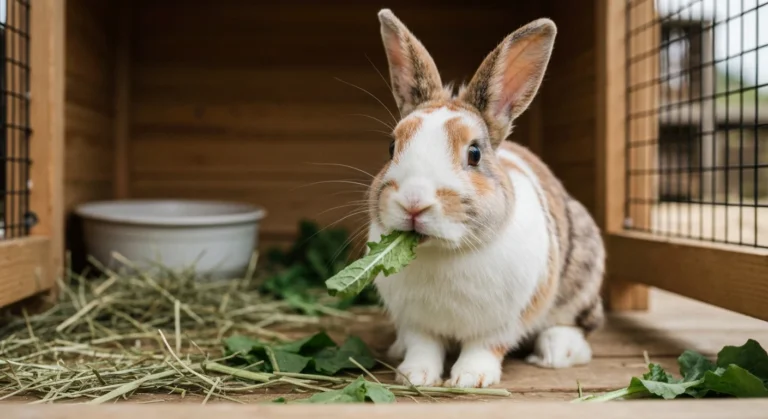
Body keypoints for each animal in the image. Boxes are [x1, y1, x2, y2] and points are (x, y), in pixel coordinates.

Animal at [365, 9, 606, 389]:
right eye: (392, 147)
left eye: (475, 153)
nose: (414, 203)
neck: (443, 252)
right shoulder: (415, 321)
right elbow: (423, 345)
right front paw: (414, 375)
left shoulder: (503, 321)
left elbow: (485, 346)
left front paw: (470, 378)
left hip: (582, 272)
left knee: (577, 322)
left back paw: (558, 351)